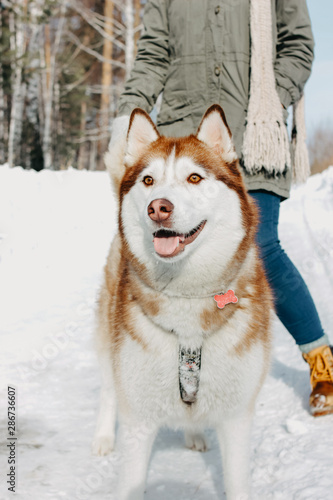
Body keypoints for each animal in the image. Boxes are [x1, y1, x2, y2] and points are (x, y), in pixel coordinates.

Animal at [92, 105, 272, 500]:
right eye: (148, 180)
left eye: (194, 177)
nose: (158, 207)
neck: (187, 296)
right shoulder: (138, 418)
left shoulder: (237, 416)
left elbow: (237, 482)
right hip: (110, 341)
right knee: (109, 389)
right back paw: (103, 437)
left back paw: (194, 433)